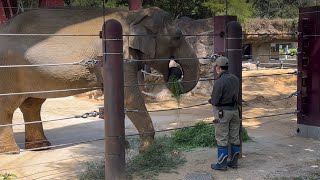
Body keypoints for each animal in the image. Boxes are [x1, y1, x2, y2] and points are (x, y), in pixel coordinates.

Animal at [0, 7, 200, 153]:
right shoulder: (117, 55)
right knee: (8, 107)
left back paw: (40, 147)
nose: (174, 70)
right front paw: (148, 151)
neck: (134, 15)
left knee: (32, 104)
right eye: (177, 37)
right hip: (8, 72)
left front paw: (124, 148)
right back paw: (12, 152)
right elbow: (129, 97)